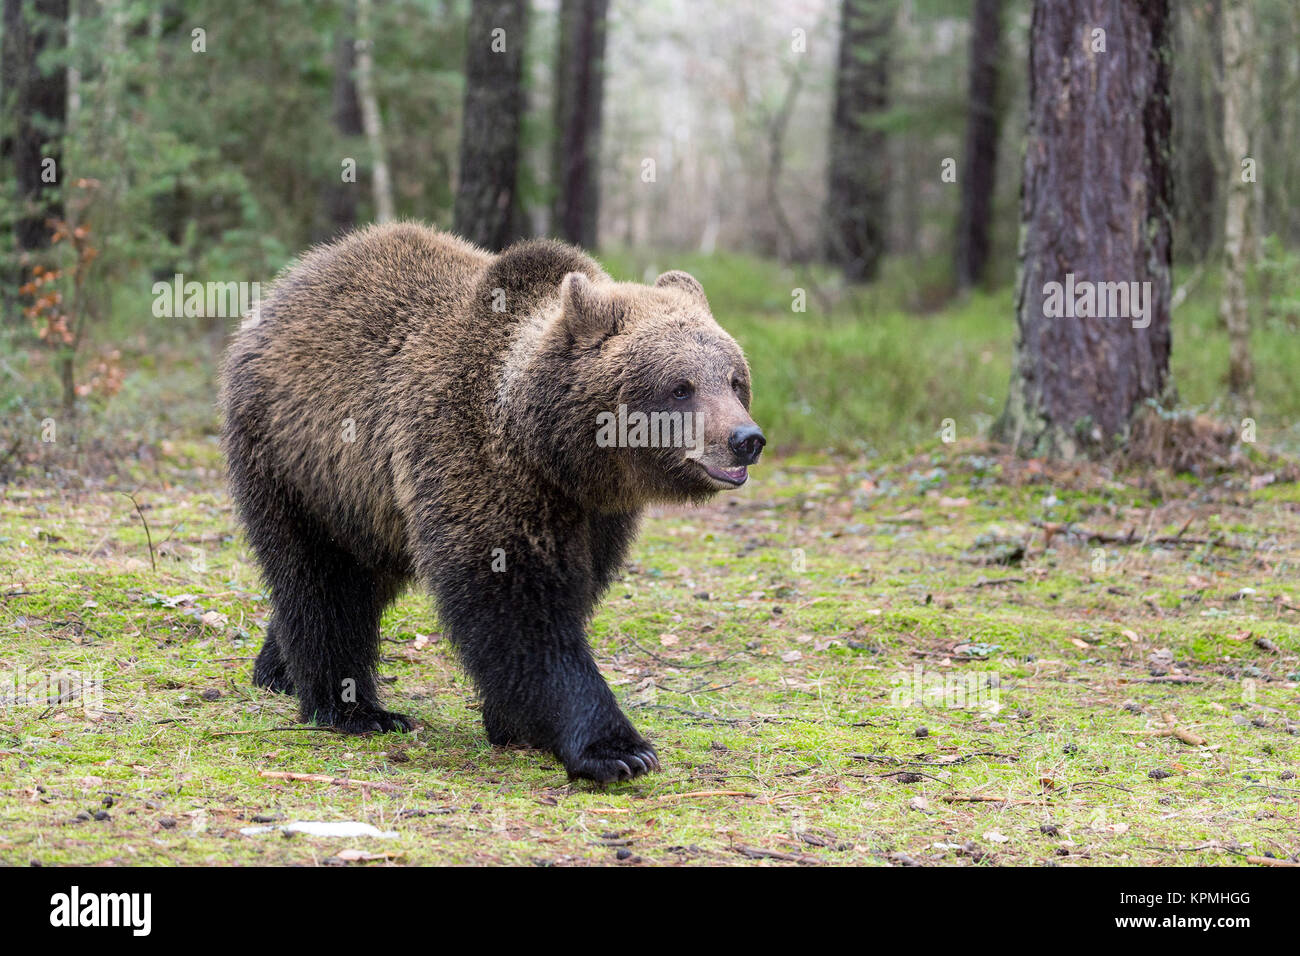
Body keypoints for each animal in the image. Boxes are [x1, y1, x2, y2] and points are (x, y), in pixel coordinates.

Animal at [214, 223, 759, 785]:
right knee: (321, 581)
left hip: (367, 505)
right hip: (299, 463)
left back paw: (276, 671)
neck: (554, 451)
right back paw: (355, 708)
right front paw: (616, 748)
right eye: (680, 387)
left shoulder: (597, 514)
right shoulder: (476, 463)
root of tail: (285, 287)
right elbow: (519, 608)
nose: (746, 439)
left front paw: (515, 722)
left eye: (735, 380)